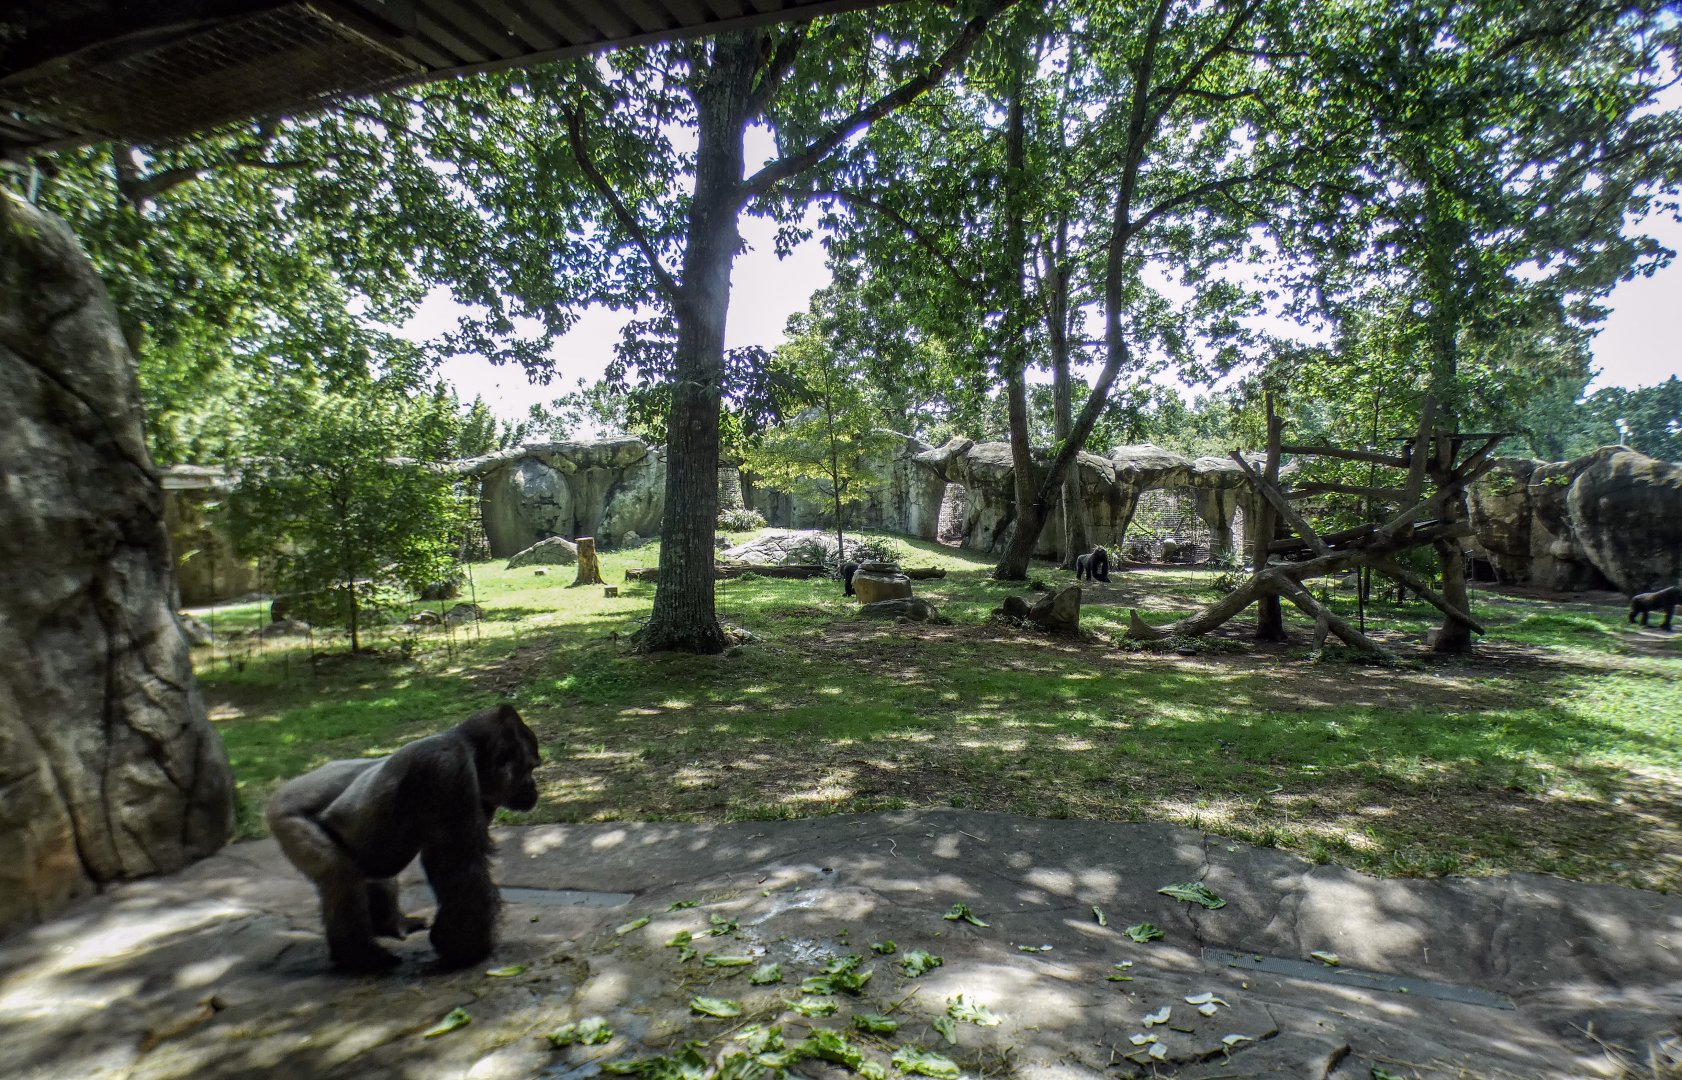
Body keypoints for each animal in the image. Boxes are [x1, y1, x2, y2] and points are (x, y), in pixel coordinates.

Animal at [267, 704, 541, 972]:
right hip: (286, 818)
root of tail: (281, 792)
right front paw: (465, 952)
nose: (534, 788)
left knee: (373, 873)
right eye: (530, 767)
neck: (468, 747)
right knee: (340, 873)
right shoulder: (446, 766)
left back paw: (391, 924)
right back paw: (359, 957)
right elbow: (460, 868)